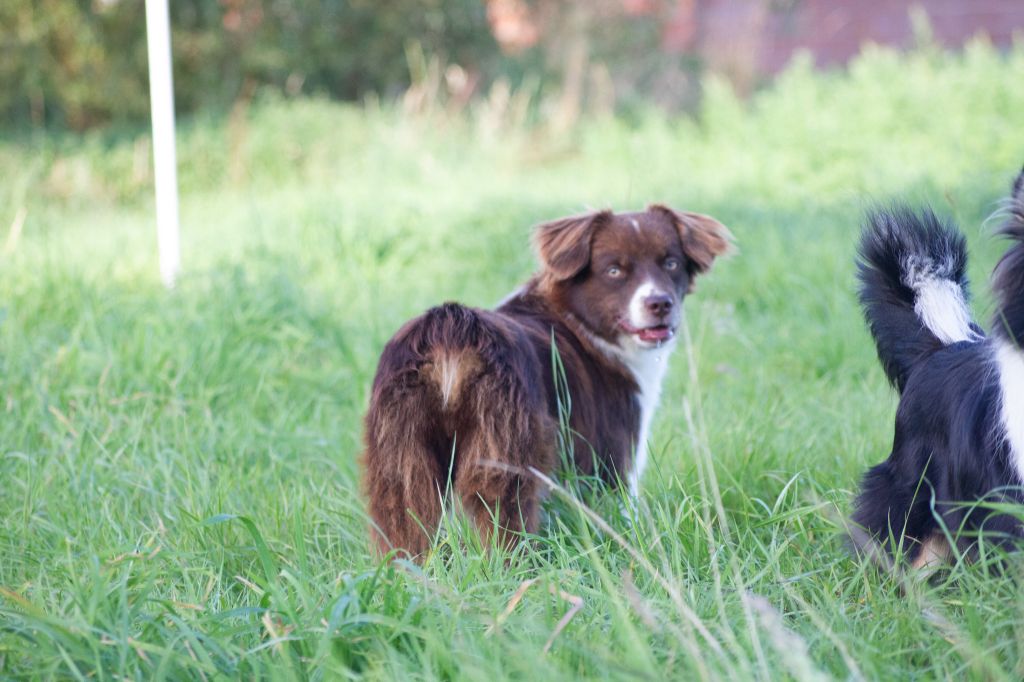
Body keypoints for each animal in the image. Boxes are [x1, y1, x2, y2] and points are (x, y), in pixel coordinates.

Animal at [360, 204, 729, 557]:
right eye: (613, 270)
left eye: (671, 263)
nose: (659, 304)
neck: (580, 321)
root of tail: (451, 329)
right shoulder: (611, 455)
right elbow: (621, 510)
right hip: (502, 451)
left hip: (401, 458)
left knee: (404, 524)